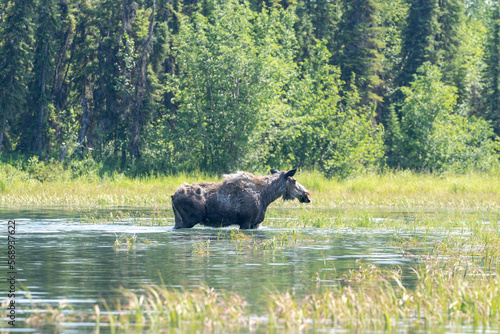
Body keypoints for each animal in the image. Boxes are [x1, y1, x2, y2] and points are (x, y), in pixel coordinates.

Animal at [173, 168, 312, 228]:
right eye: (294, 180)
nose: (307, 195)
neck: (267, 197)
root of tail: (173, 196)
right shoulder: (246, 221)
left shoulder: (255, 224)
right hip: (188, 221)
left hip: (179, 220)